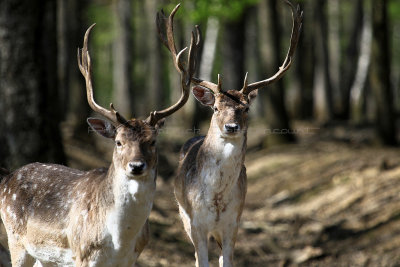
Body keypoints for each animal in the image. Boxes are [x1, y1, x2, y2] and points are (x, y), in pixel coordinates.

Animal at [0, 5, 200, 266]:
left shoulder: (132, 257)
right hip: (16, 239)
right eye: (118, 142)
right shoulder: (83, 252)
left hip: (45, 256)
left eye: (153, 141)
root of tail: (7, 177)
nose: (136, 166)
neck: (120, 240)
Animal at [170, 1, 302, 266]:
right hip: (183, 216)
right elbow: (202, 260)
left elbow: (227, 261)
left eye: (246, 108)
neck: (217, 200)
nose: (231, 127)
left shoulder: (233, 221)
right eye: (216, 108)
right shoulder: (196, 223)